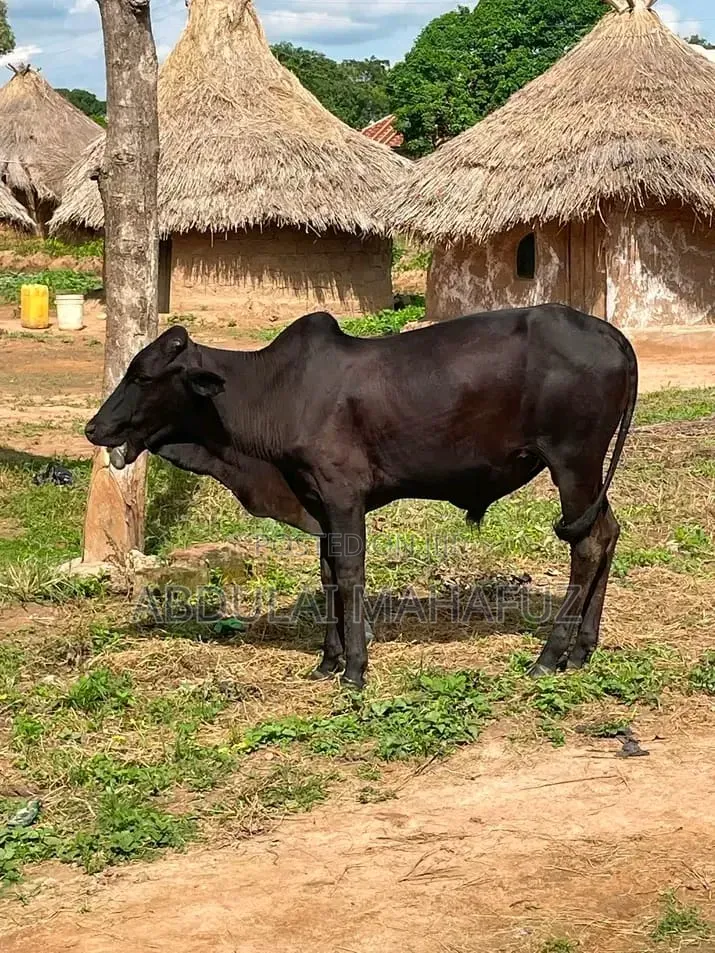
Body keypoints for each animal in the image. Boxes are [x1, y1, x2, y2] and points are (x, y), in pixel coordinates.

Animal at [85, 304, 638, 690]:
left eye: (143, 376)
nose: (94, 428)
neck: (273, 392)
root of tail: (608, 331)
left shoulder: (342, 495)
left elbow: (349, 573)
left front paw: (354, 667)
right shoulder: (316, 501)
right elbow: (328, 571)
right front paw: (327, 661)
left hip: (573, 463)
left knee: (586, 546)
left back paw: (549, 656)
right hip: (587, 475)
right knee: (607, 533)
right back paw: (582, 651)